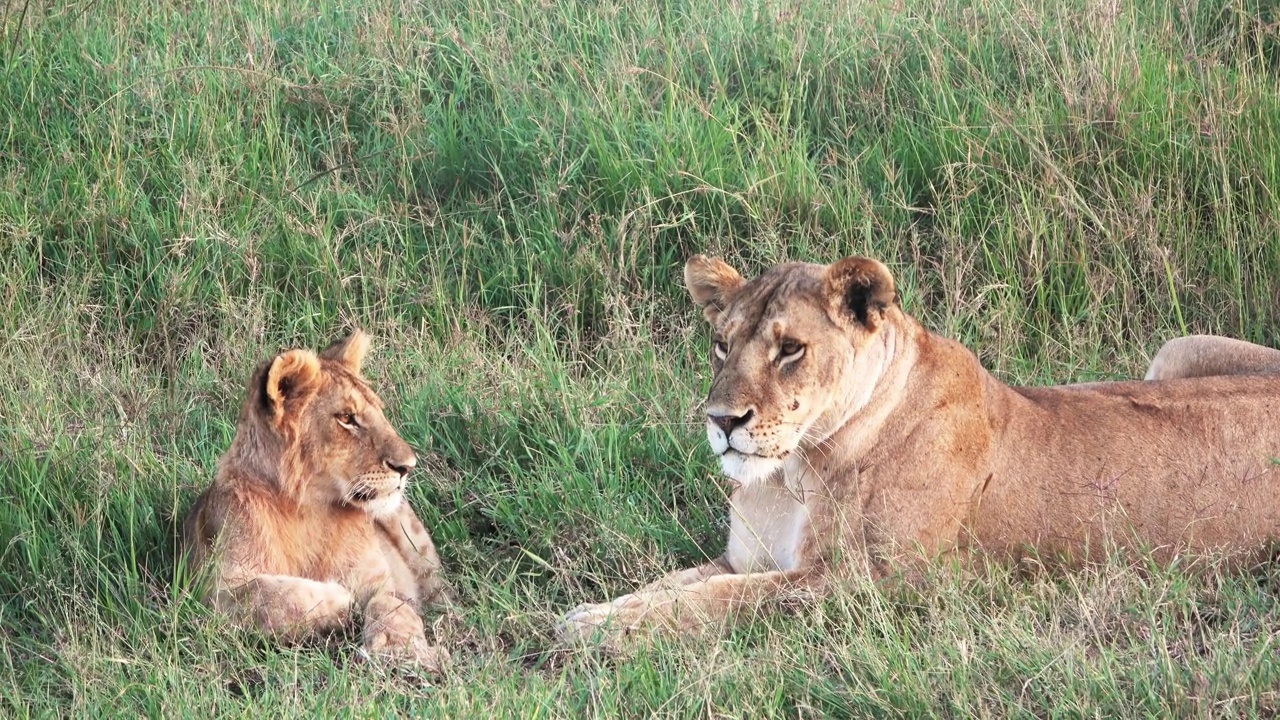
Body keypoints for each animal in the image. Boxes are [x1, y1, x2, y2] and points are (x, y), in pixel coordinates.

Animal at [183, 330, 453, 666]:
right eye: (347, 418)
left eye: (379, 411)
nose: (408, 466)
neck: (310, 508)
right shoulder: (211, 593)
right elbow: (271, 596)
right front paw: (339, 598)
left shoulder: (379, 580)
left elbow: (391, 605)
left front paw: (401, 649)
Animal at [565, 254, 1280, 640]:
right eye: (722, 343)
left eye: (790, 348)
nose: (721, 420)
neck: (792, 473)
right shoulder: (741, 559)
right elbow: (673, 586)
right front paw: (594, 612)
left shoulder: (870, 584)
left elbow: (722, 601)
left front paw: (600, 634)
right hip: (1178, 349)